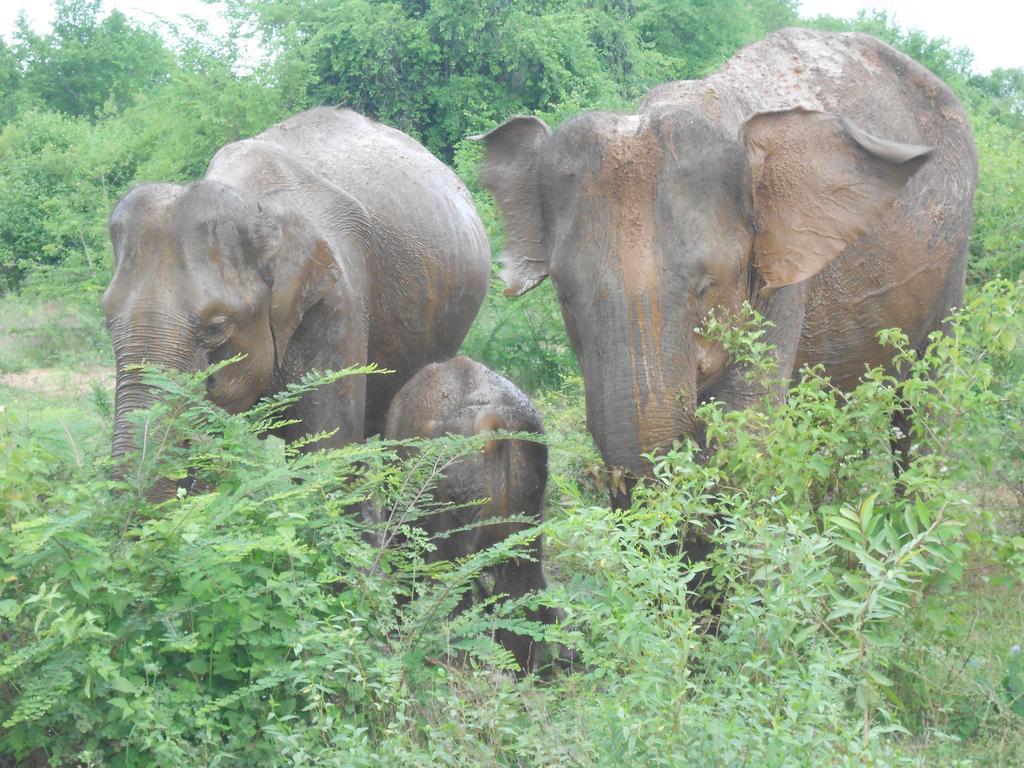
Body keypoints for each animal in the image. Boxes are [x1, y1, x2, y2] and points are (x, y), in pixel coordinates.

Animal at [475, 27, 978, 501]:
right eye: (564, 295)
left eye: (706, 287)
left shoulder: (783, 277)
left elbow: (743, 431)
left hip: (953, 258)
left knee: (923, 400)